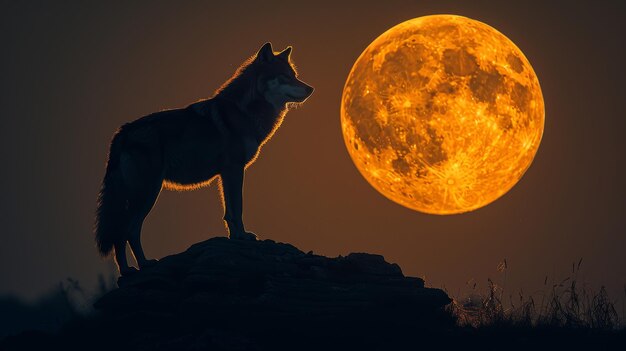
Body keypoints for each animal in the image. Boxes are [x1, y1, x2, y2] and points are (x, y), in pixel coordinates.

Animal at [92, 43, 312, 276]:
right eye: (284, 77)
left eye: (294, 76)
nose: (311, 89)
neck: (244, 110)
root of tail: (122, 132)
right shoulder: (234, 169)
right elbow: (238, 208)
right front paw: (243, 237)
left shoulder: (226, 174)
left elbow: (229, 212)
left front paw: (235, 237)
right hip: (147, 193)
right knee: (127, 231)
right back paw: (138, 267)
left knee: (123, 232)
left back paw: (134, 268)